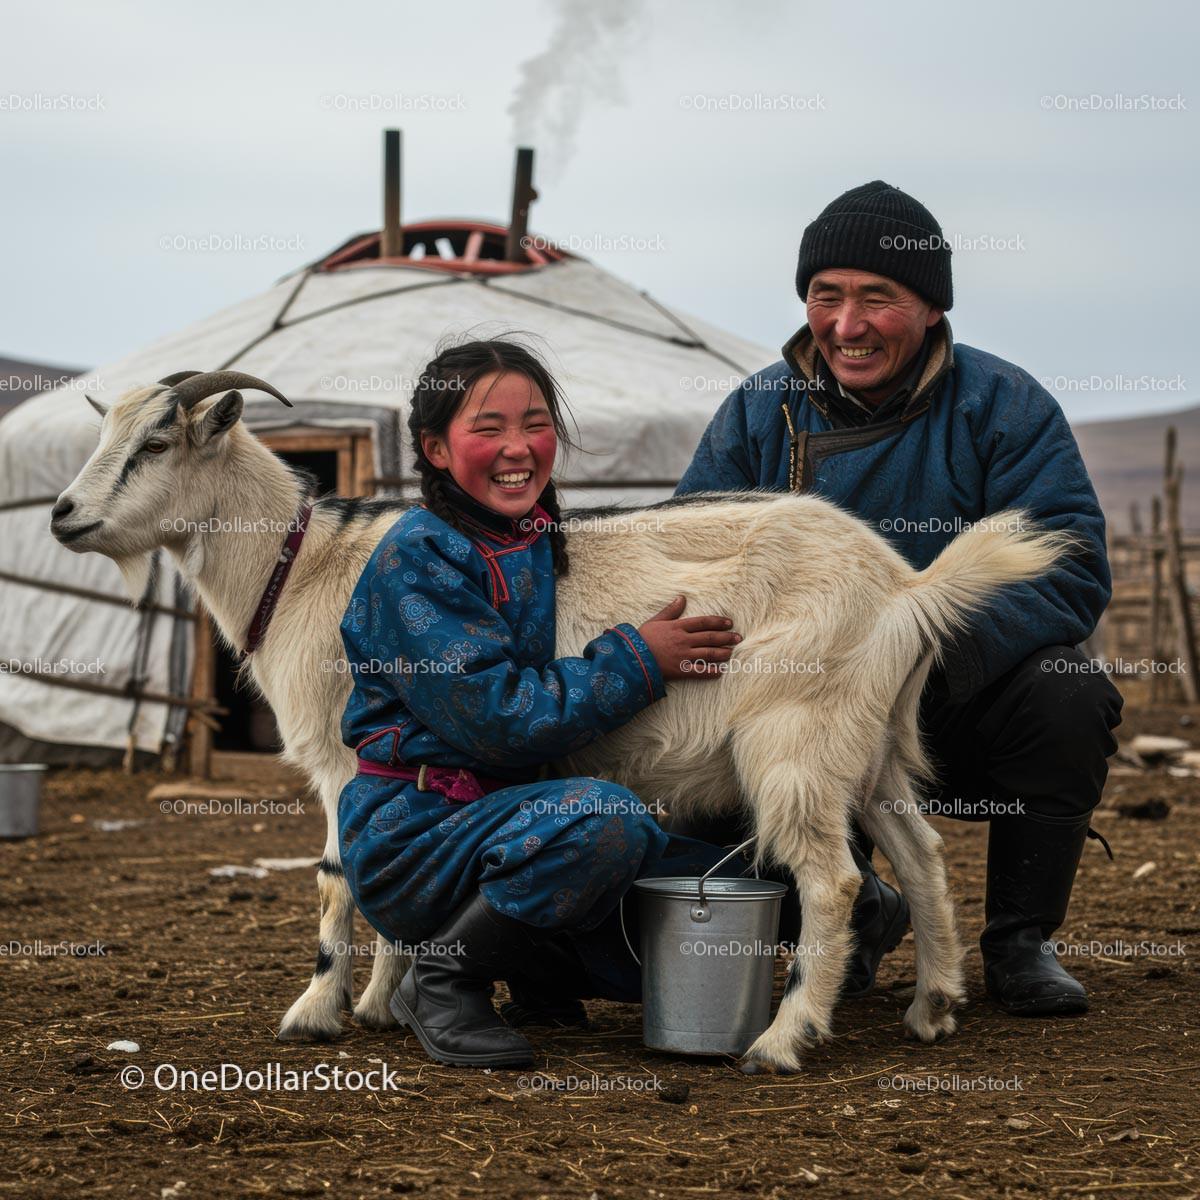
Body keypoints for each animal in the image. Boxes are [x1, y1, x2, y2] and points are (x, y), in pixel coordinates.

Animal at [50, 372, 1069, 1074]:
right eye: (105, 429)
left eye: (156, 442)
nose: (62, 516)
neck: (303, 568)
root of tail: (906, 587)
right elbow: (375, 891)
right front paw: (381, 1002)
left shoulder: (343, 760)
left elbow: (342, 883)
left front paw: (319, 1009)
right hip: (876, 741)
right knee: (922, 856)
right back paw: (934, 1006)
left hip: (795, 739)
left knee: (833, 880)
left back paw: (784, 1038)